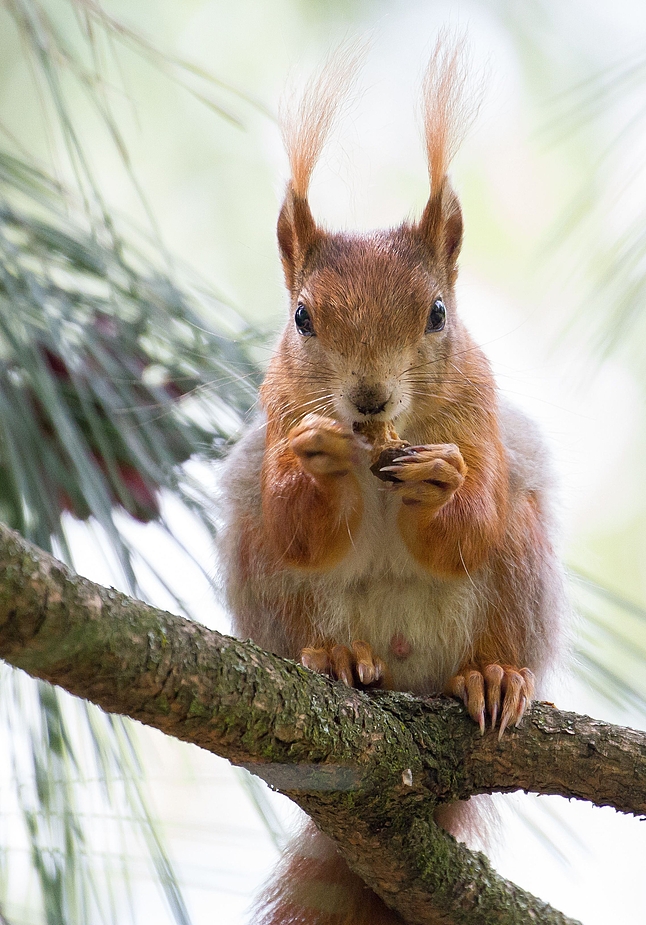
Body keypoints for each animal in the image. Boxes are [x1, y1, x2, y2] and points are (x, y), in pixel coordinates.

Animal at [218, 38, 568, 924]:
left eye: (438, 312)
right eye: (302, 317)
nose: (368, 399)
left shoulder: (480, 418)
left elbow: (468, 525)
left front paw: (441, 483)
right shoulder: (275, 423)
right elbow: (297, 528)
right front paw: (318, 460)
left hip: (522, 568)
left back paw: (491, 675)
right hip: (266, 586)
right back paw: (337, 656)